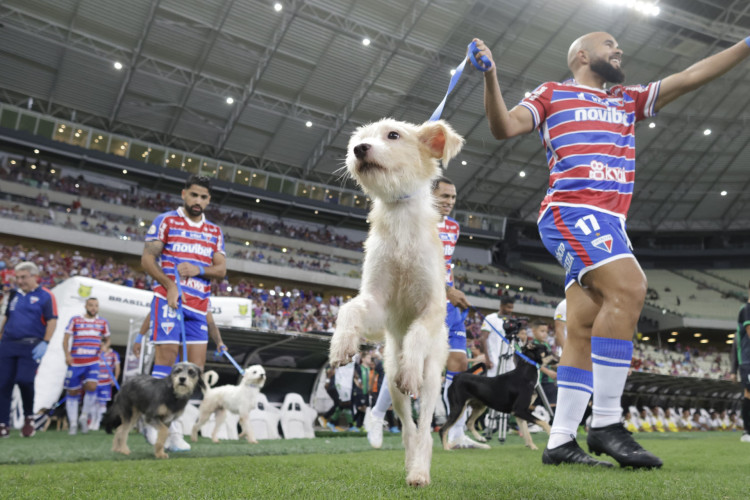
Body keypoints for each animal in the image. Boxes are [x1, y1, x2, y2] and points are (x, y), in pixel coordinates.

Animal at [330, 118, 464, 488]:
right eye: (360, 138)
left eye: (393, 135)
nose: (359, 149)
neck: (401, 214)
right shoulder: (378, 306)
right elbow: (350, 307)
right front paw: (342, 343)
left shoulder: (432, 307)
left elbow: (417, 331)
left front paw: (411, 364)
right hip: (389, 377)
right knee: (408, 428)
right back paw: (410, 461)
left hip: (433, 378)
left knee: (425, 426)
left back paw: (420, 470)